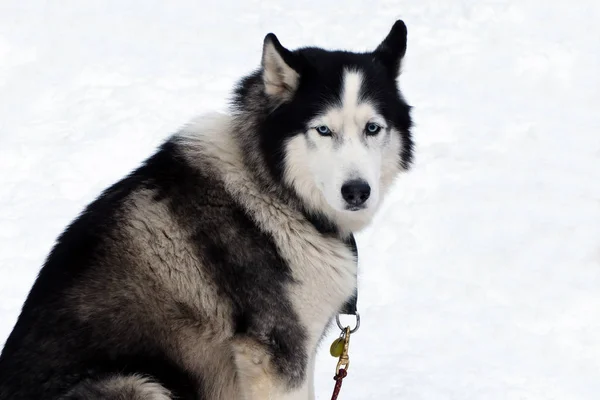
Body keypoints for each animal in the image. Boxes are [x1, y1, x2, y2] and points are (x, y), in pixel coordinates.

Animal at [0, 20, 412, 398]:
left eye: (372, 128)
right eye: (323, 130)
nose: (357, 191)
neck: (275, 192)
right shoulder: (278, 355)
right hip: (137, 384)